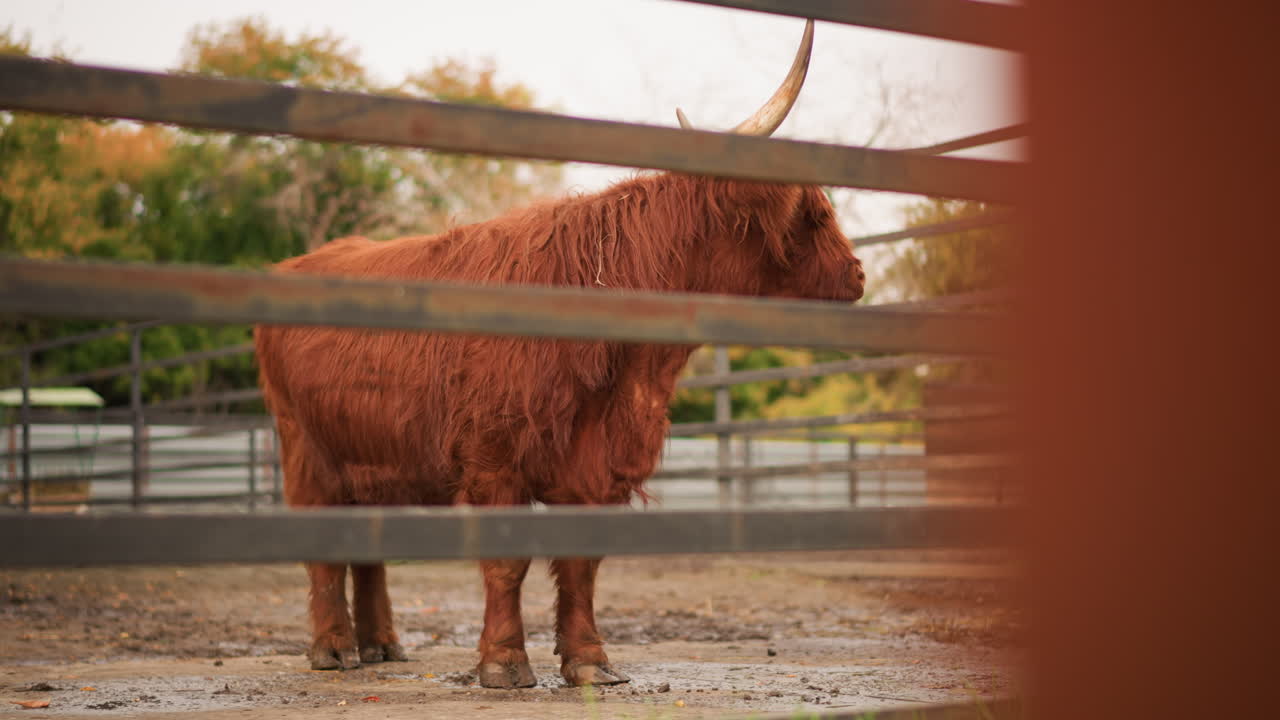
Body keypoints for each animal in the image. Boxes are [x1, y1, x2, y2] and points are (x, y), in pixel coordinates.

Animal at [254, 19, 865, 688]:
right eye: (814, 213)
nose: (859, 274)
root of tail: (302, 261)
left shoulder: (595, 466)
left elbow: (581, 566)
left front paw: (591, 661)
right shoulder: (492, 455)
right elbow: (507, 563)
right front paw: (503, 663)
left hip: (375, 460)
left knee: (367, 546)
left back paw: (383, 645)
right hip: (307, 451)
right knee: (323, 551)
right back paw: (334, 648)